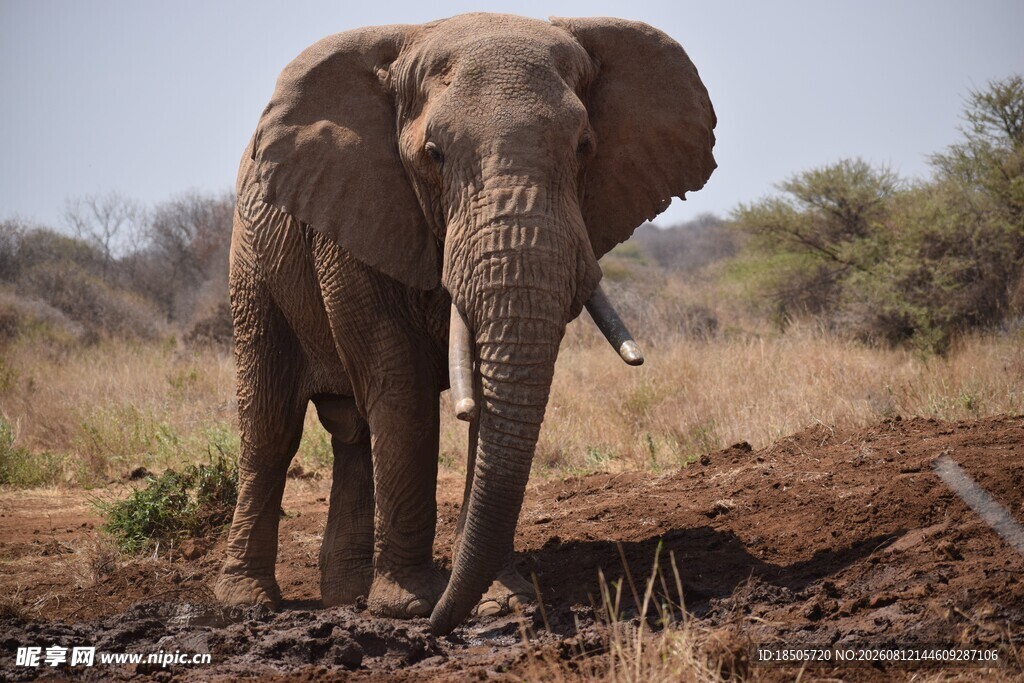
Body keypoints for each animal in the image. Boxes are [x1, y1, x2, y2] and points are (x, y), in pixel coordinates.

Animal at [213, 12, 716, 635]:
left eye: (584, 147)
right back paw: (249, 602)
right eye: (434, 154)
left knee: (352, 432)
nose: (440, 627)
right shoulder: (354, 214)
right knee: (270, 425)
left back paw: (346, 597)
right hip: (251, 266)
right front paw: (410, 607)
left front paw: (503, 603)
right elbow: (400, 386)